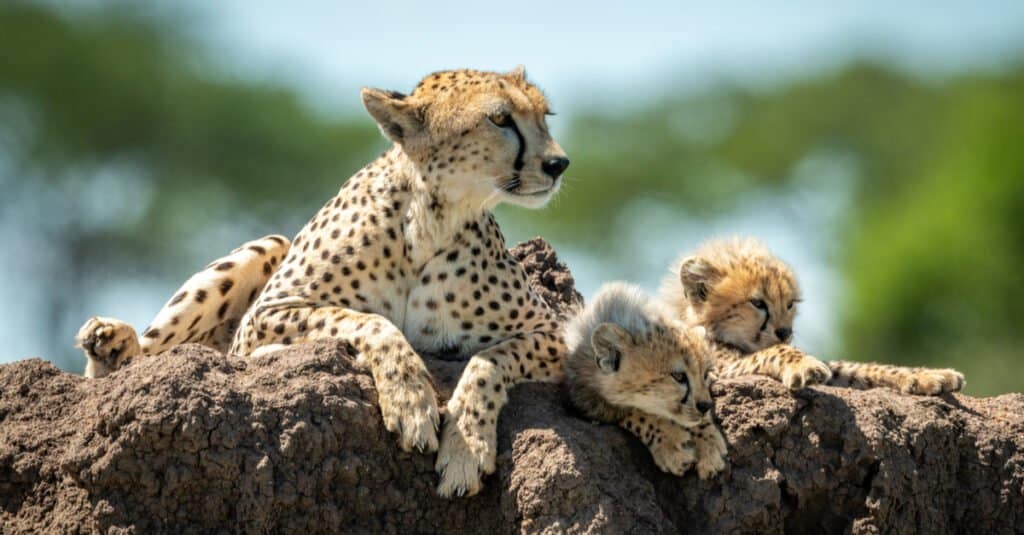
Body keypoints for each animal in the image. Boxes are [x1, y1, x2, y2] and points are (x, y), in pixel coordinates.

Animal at [75, 66, 573, 496]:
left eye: (544, 116)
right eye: (500, 118)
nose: (559, 163)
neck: (434, 217)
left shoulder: (556, 336)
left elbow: (489, 360)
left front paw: (466, 448)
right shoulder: (263, 316)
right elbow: (367, 321)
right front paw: (410, 400)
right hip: (268, 247)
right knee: (150, 355)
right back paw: (112, 342)